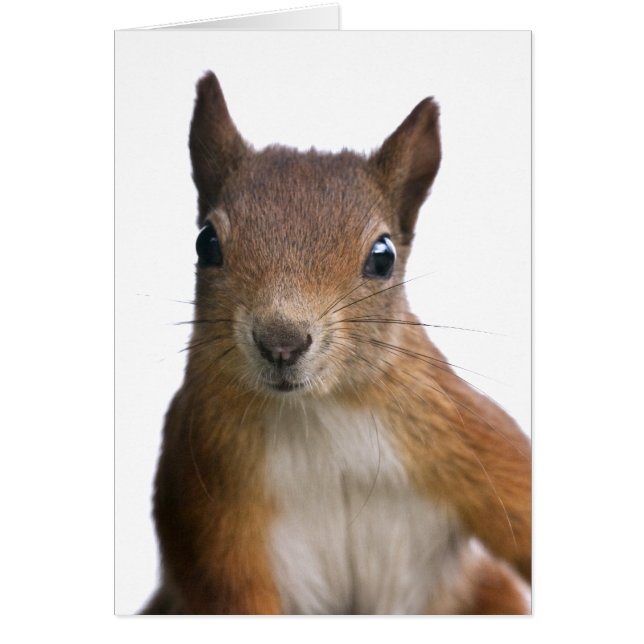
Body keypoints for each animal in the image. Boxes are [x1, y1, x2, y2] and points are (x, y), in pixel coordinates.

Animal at [141, 71, 531, 615]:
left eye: (383, 256)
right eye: (206, 243)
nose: (281, 342)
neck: (315, 412)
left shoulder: (465, 434)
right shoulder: (206, 504)